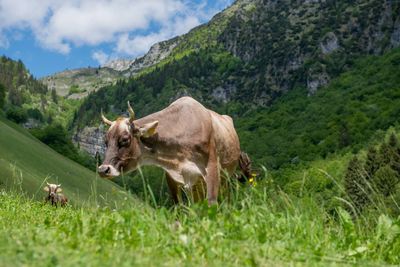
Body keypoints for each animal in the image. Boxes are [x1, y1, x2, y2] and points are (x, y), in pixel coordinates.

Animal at [97, 97, 250, 206]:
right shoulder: (171, 176)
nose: (103, 170)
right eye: (105, 141)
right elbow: (179, 207)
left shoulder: (212, 168)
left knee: (226, 200)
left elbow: (212, 202)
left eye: (125, 139)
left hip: (226, 178)